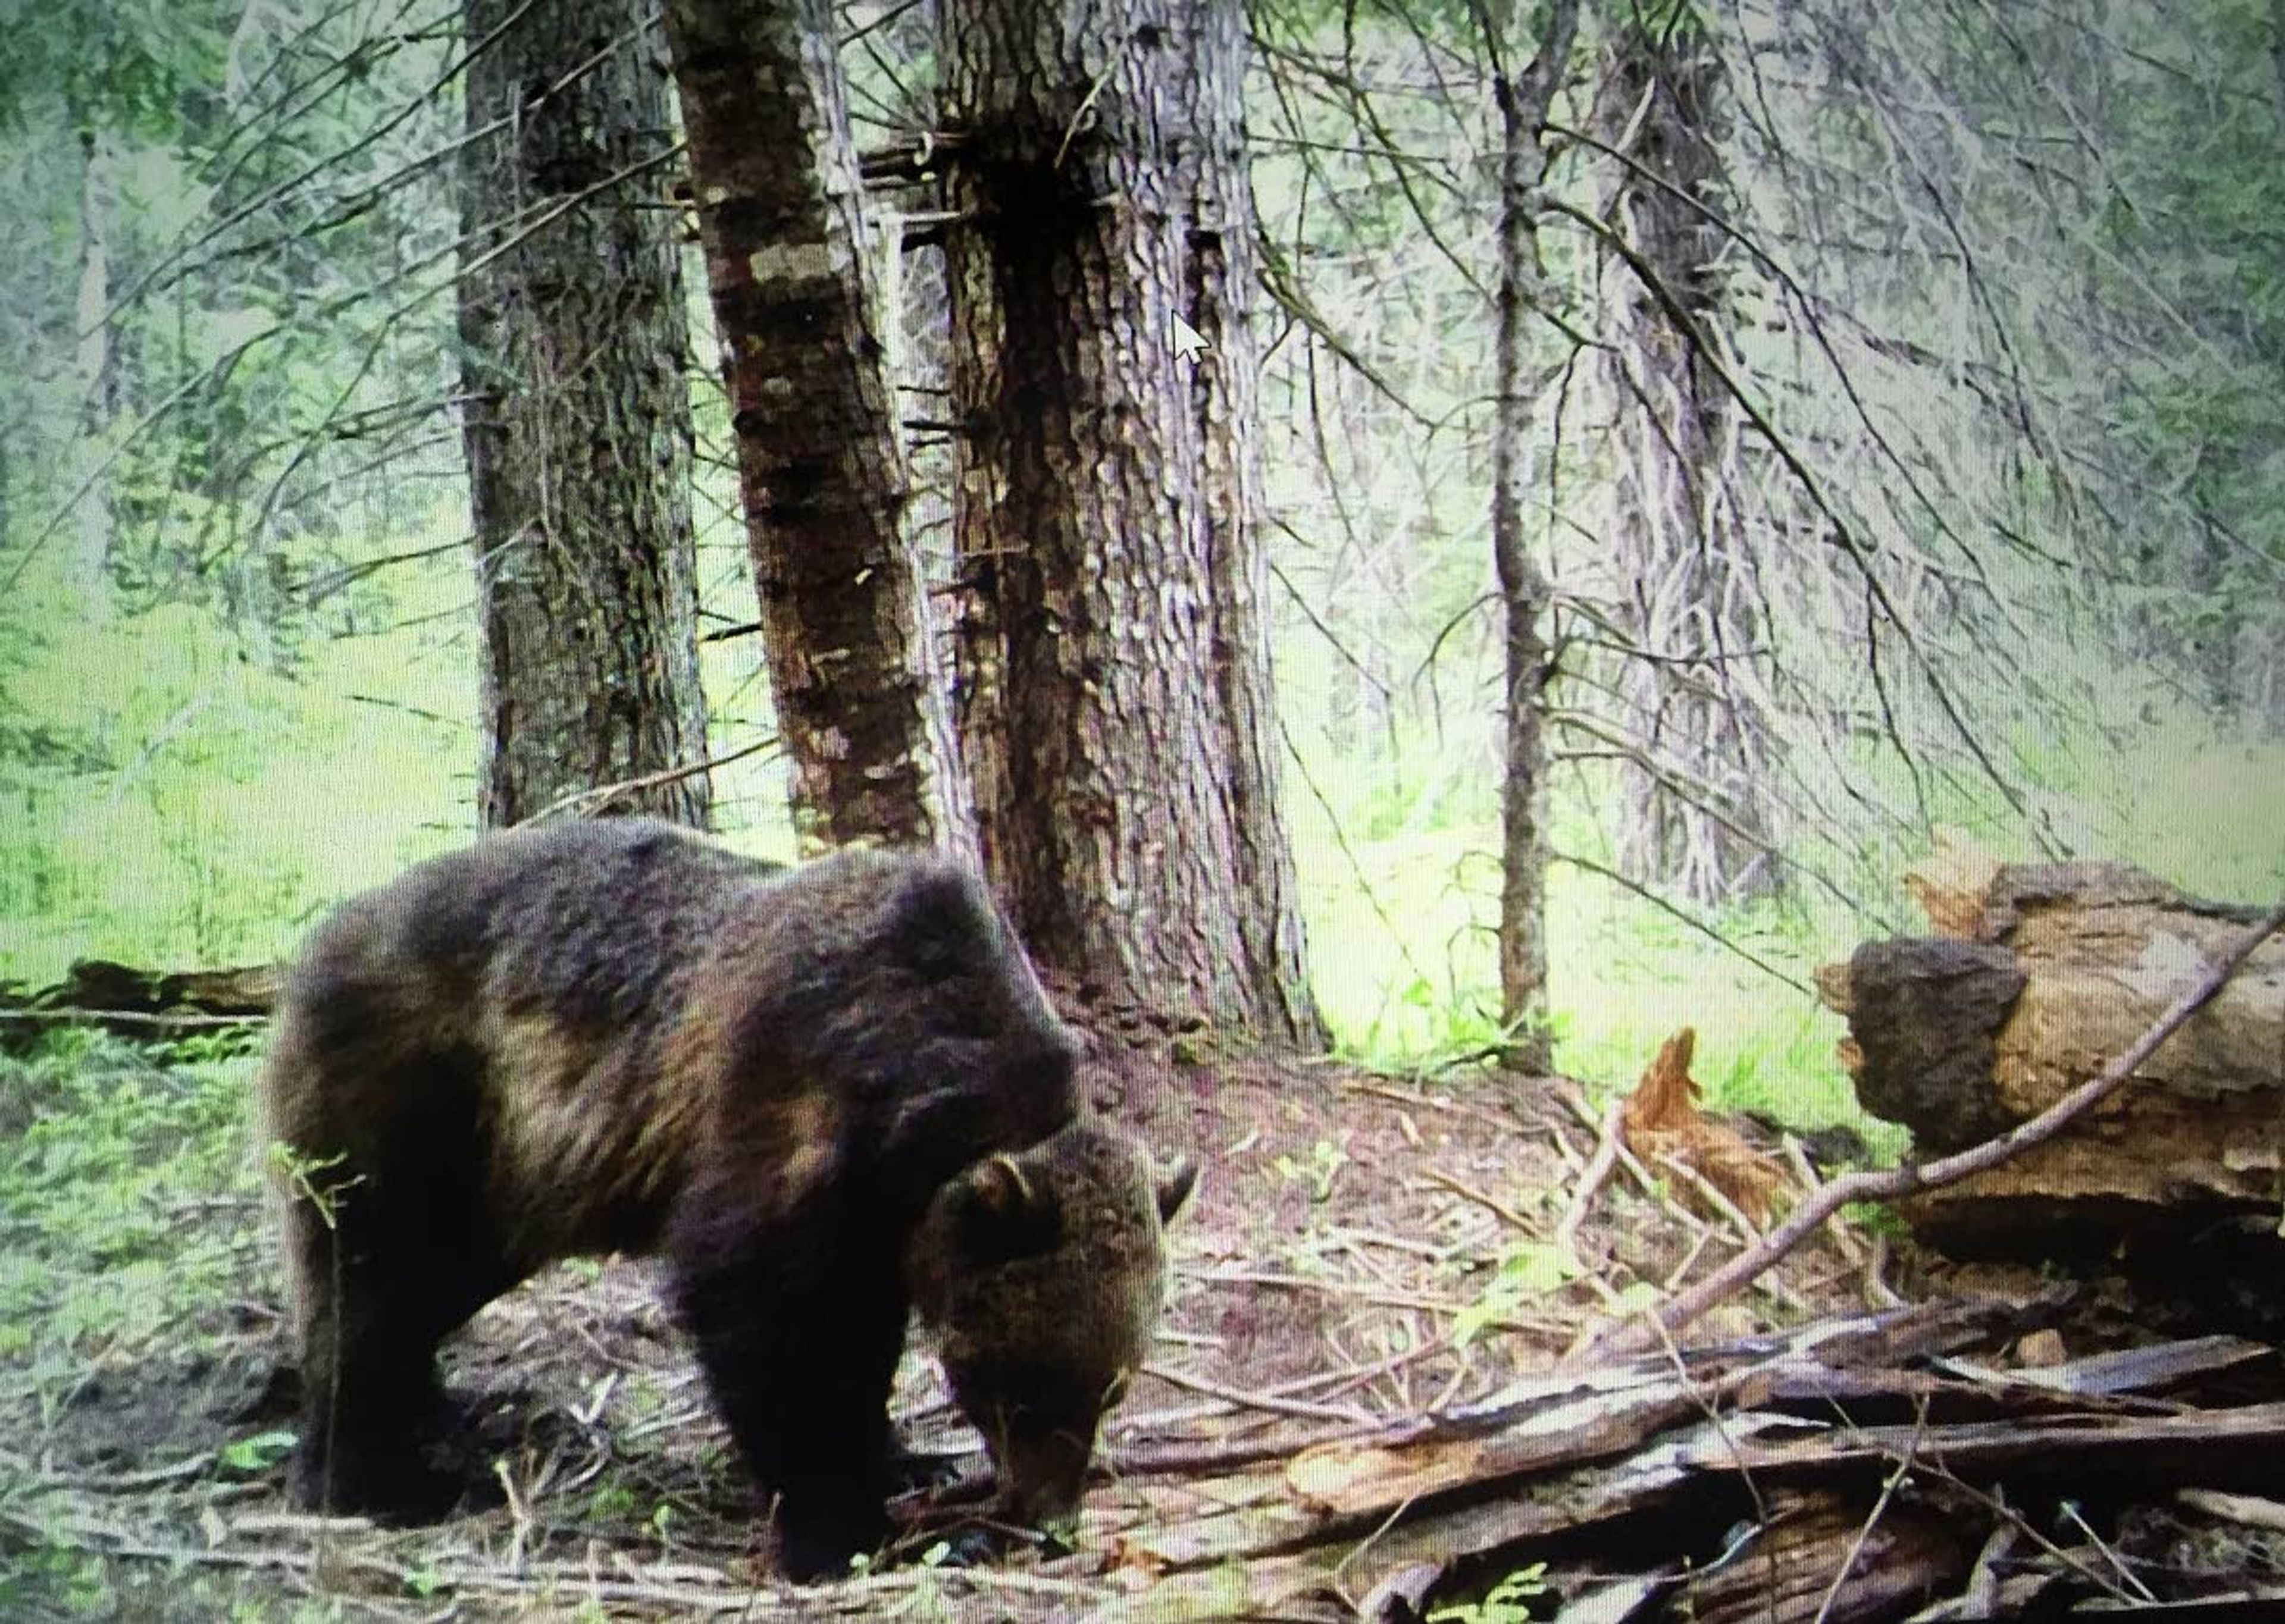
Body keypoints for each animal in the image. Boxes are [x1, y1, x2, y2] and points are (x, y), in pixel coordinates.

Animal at [261, 817, 1197, 1581]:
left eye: (1113, 1388)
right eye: (1024, 1388)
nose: (1052, 1519)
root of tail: (312, 946)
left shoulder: (878, 1219)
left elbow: (861, 1339)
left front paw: (904, 1458)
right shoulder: (783, 1109)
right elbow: (759, 1318)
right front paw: (844, 1530)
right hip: (416, 1111)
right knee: (366, 1284)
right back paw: (372, 1479)